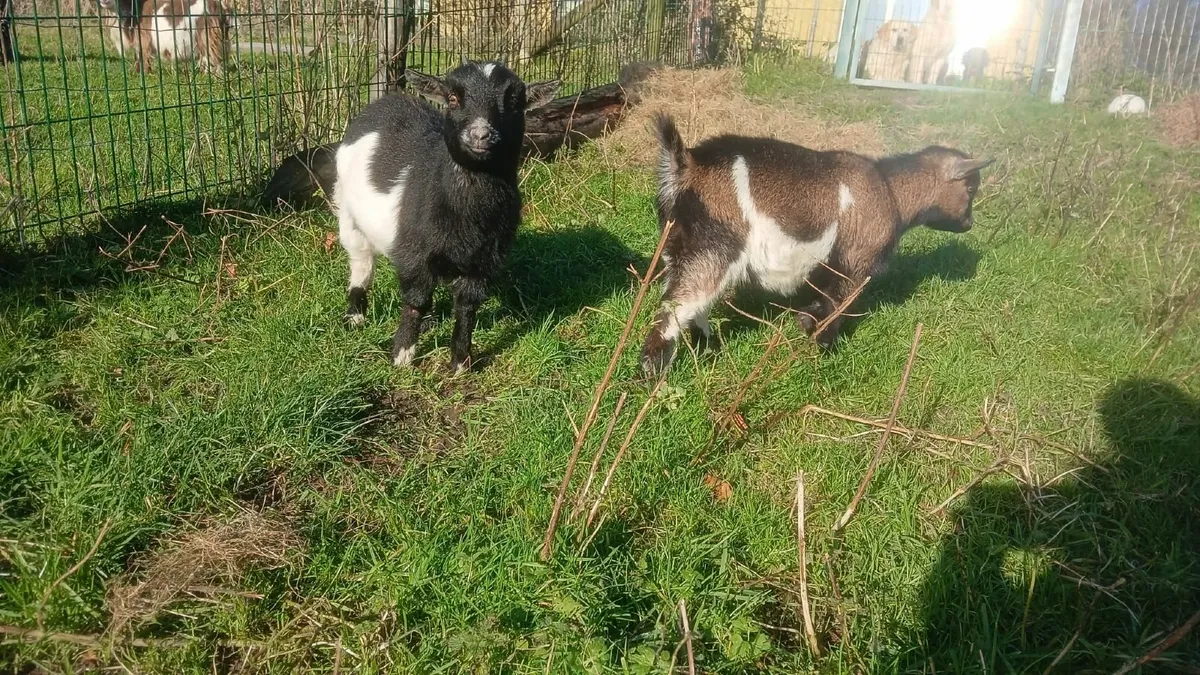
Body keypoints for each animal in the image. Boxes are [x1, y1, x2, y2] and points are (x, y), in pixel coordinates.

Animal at [334, 61, 559, 372]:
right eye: (453, 99)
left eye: (514, 101)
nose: (480, 135)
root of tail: (386, 101)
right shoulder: (415, 255)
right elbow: (417, 301)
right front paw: (402, 355)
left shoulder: (482, 262)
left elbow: (466, 307)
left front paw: (461, 362)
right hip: (346, 209)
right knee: (361, 262)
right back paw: (355, 315)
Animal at [639, 114, 992, 375]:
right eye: (971, 188)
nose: (969, 224)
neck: (891, 191)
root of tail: (685, 164)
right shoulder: (856, 263)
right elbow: (839, 305)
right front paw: (822, 348)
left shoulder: (830, 266)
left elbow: (824, 300)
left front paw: (806, 322)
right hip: (715, 244)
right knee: (676, 306)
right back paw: (652, 375)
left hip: (676, 244)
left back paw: (708, 349)